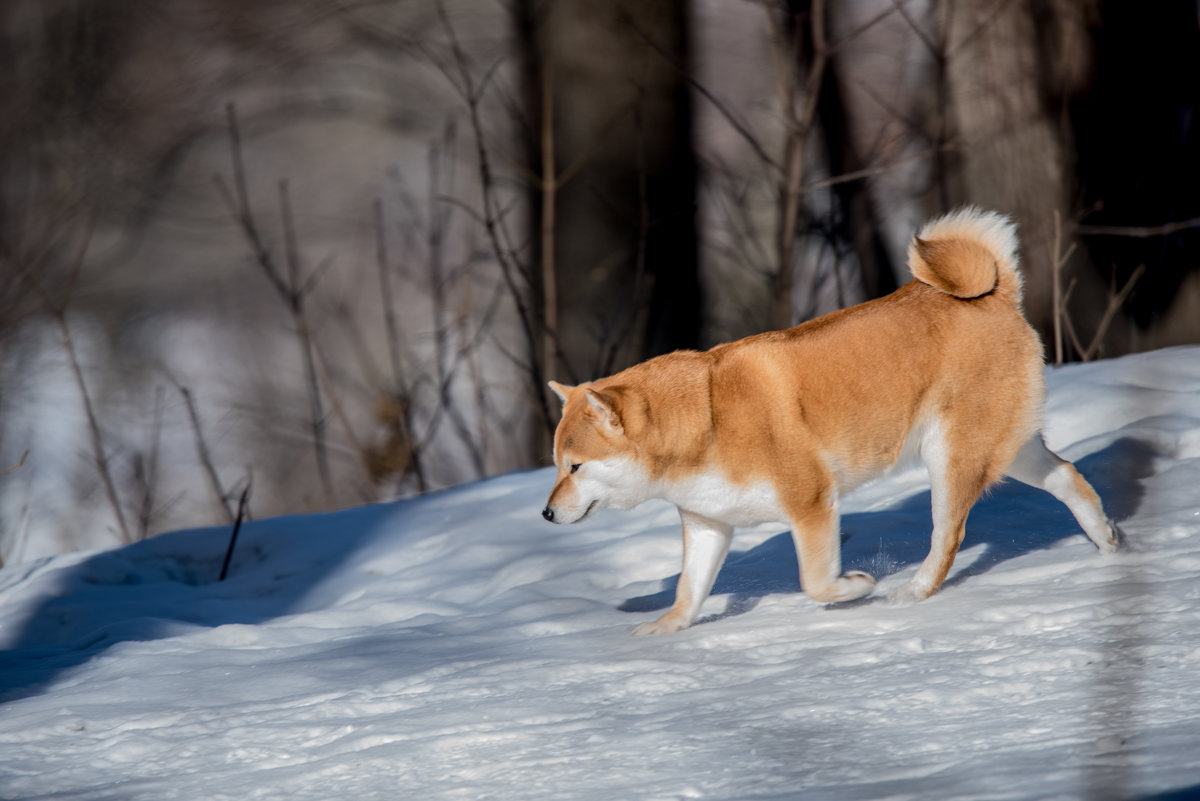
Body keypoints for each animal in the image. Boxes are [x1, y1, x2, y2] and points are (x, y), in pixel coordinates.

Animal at [544, 209, 1123, 633]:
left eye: (574, 467)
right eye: (556, 465)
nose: (546, 515)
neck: (706, 420)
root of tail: (995, 295)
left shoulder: (810, 503)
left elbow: (815, 582)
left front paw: (858, 586)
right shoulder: (708, 523)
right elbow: (689, 591)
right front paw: (663, 631)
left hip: (951, 457)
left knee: (948, 536)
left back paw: (912, 591)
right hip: (1009, 447)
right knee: (1069, 478)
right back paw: (1108, 541)